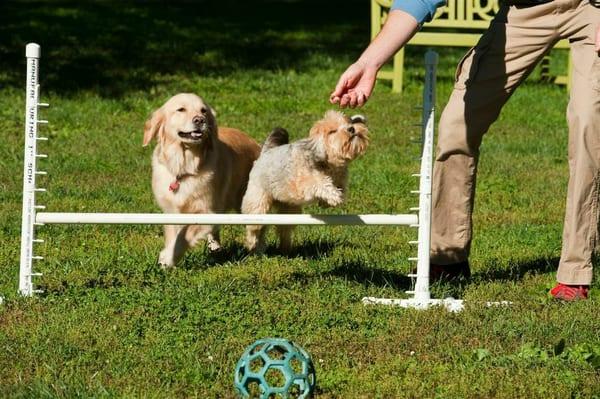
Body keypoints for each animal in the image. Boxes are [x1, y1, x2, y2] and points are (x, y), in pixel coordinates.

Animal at [241, 109, 368, 253]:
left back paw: (281, 248)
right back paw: (253, 244)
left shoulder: (340, 178)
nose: (351, 128)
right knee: (254, 227)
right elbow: (321, 183)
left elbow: (341, 187)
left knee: (280, 229)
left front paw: (328, 201)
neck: (325, 160)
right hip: (258, 203)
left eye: (348, 123)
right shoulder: (303, 183)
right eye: (332, 131)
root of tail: (265, 153)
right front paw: (334, 196)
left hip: (289, 210)